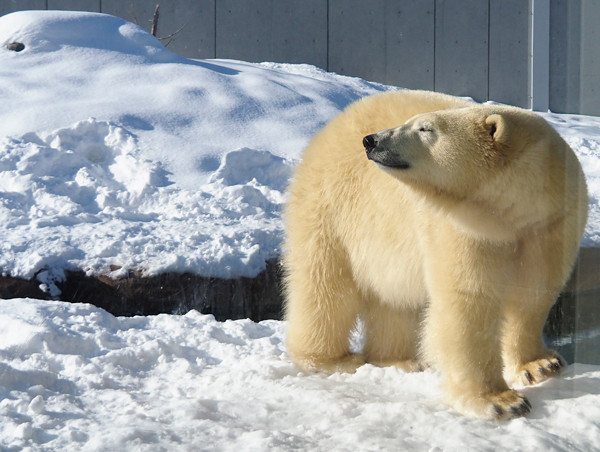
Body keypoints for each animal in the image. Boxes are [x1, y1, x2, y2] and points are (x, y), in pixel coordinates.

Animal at [284, 89, 588, 420]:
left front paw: (542, 365)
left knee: (393, 299)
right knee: (325, 284)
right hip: (330, 208)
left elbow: (533, 292)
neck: (516, 210)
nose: (371, 140)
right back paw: (331, 358)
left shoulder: (550, 225)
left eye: (425, 128)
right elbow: (469, 301)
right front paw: (501, 400)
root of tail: (328, 129)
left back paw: (398, 359)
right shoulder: (465, 225)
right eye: (414, 123)